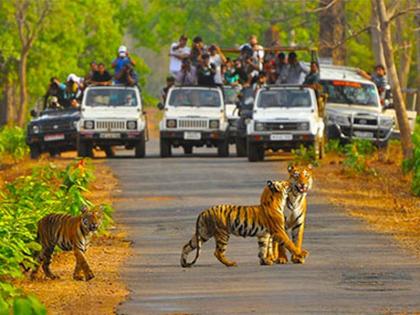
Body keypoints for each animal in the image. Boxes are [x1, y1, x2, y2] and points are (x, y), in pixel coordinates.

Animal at [180, 181, 308, 268]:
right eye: (285, 183)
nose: (292, 183)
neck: (277, 201)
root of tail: (204, 212)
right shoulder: (279, 230)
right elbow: (289, 243)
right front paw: (301, 254)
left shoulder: (264, 235)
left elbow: (263, 248)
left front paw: (265, 261)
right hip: (223, 234)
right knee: (218, 252)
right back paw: (231, 263)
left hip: (203, 233)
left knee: (186, 246)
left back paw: (183, 263)